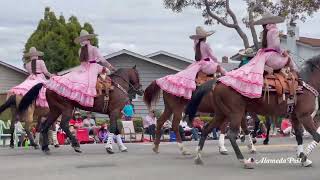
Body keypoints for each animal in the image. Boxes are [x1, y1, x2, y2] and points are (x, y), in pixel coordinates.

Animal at [190, 55, 320, 168]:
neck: (305, 84)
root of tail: (218, 81)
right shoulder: (305, 116)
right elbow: (317, 137)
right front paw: (304, 157)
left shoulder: (295, 117)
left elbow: (299, 136)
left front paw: (303, 158)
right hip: (235, 113)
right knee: (231, 134)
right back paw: (244, 160)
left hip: (221, 114)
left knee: (206, 129)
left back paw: (198, 157)